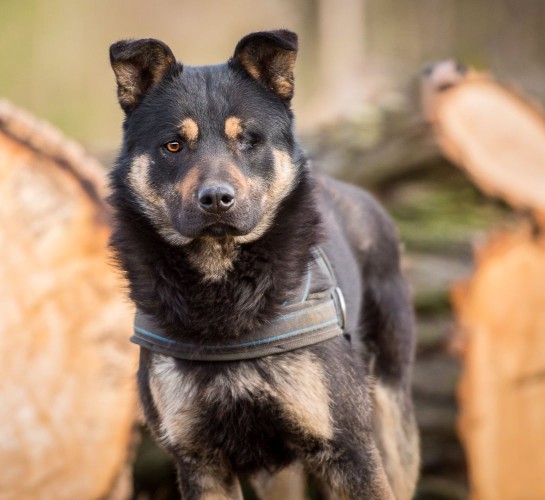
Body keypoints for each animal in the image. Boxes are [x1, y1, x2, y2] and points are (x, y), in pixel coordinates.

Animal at [108, 29, 418, 498]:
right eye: (173, 145)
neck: (222, 292)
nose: (217, 199)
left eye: (249, 140)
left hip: (392, 417)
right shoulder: (199, 462)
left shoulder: (349, 449)